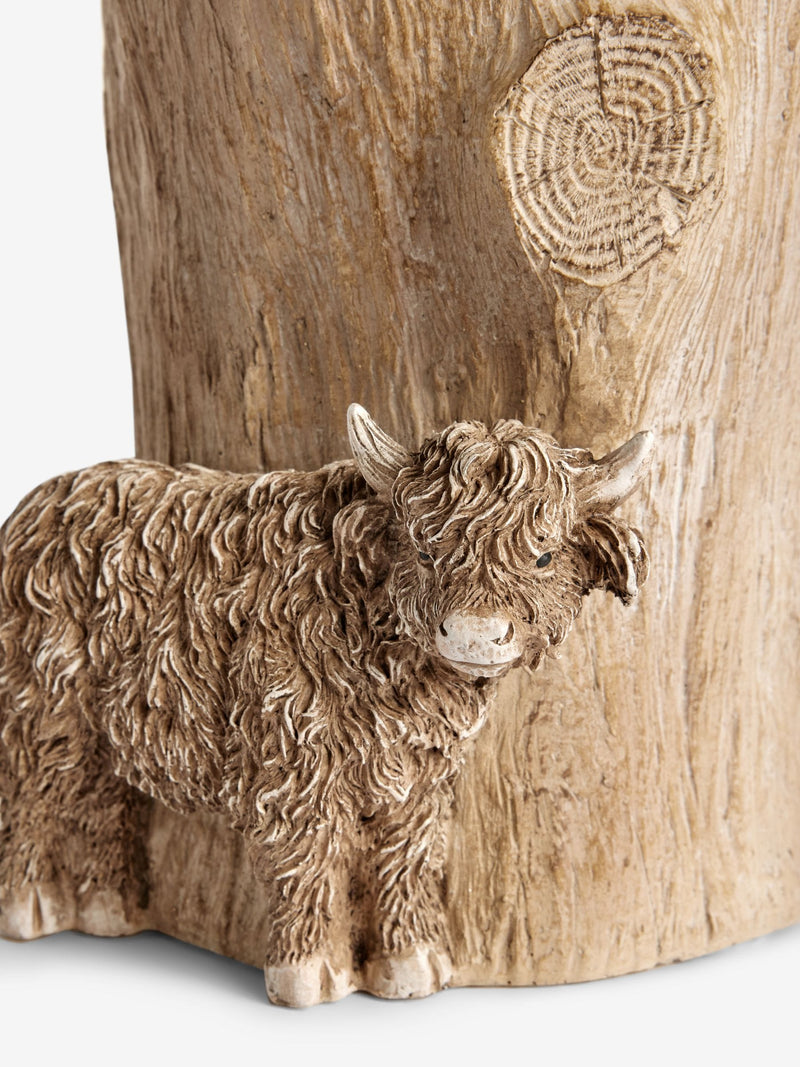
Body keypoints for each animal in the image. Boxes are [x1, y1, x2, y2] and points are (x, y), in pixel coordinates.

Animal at [0, 405, 653, 1006]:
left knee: (99, 801)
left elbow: (407, 858)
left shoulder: (417, 779)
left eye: (543, 556)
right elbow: (308, 861)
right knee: (34, 794)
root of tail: (40, 503)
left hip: (104, 735)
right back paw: (28, 905)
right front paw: (306, 971)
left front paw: (411, 960)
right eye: (425, 547)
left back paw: (107, 906)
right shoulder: (294, 763)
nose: (475, 633)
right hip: (44, 711)